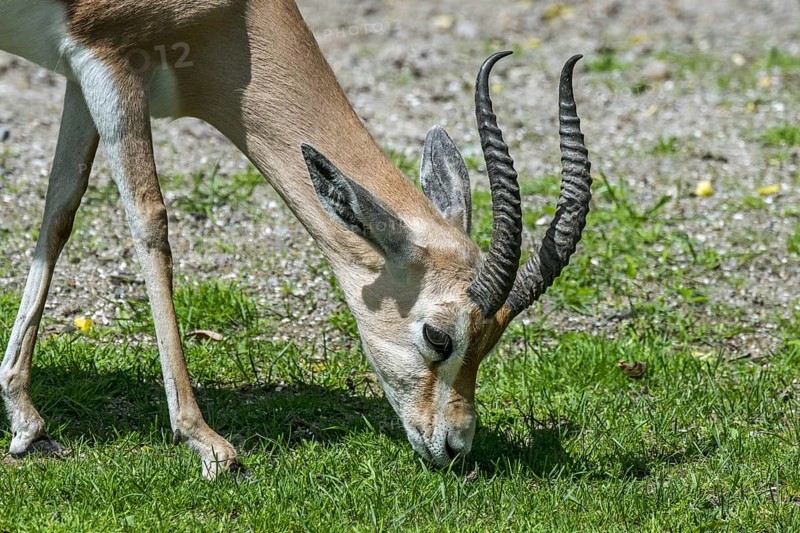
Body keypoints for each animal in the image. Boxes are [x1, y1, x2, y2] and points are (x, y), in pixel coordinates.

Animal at [0, 0, 592, 479]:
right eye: (438, 337)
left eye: (491, 341)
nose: (455, 447)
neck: (235, 16)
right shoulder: (108, 60)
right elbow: (150, 221)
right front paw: (207, 443)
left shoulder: (78, 72)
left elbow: (60, 208)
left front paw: (26, 420)